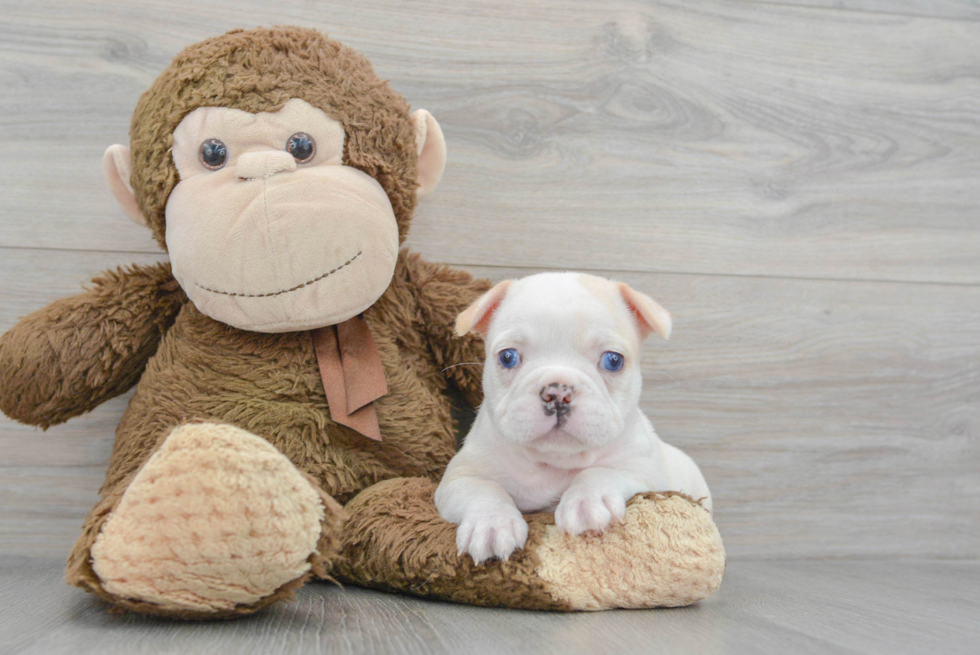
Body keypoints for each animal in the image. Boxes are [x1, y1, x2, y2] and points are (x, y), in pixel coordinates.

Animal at [436, 274, 712, 568]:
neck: (553, 463)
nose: (558, 392)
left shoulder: (645, 471)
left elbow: (602, 471)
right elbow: (483, 488)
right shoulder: (458, 477)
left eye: (613, 360)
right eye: (507, 357)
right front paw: (491, 523)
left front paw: (587, 500)